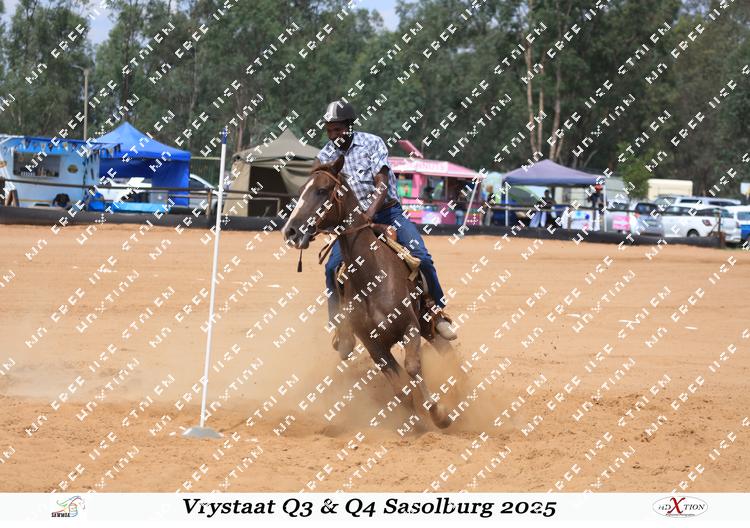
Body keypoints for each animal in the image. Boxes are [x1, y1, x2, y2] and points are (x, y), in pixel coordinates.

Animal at [282, 156, 453, 429]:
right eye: (300, 191)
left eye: (322, 190)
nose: (291, 231)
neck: (372, 278)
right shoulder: (373, 345)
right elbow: (400, 388)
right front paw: (414, 422)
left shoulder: (410, 327)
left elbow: (413, 367)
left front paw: (438, 413)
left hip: (426, 322)